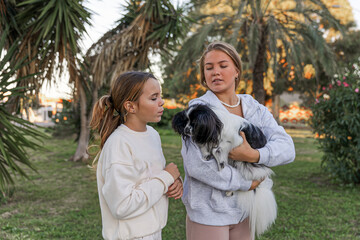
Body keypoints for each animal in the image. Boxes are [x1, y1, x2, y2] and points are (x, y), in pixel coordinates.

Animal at [173, 104, 278, 239]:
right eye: (185, 121)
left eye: (194, 123)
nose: (186, 129)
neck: (216, 125)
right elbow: (207, 147)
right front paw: (207, 154)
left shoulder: (237, 142)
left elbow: (218, 149)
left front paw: (218, 159)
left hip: (244, 164)